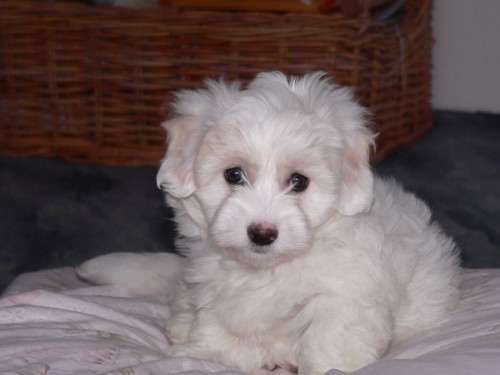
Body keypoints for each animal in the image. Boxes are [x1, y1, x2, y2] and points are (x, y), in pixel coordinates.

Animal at [78, 72, 460, 374]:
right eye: (234, 175)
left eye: (299, 182)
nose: (262, 232)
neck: (269, 270)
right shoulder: (216, 294)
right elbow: (219, 329)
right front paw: (203, 354)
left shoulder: (347, 297)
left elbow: (331, 342)